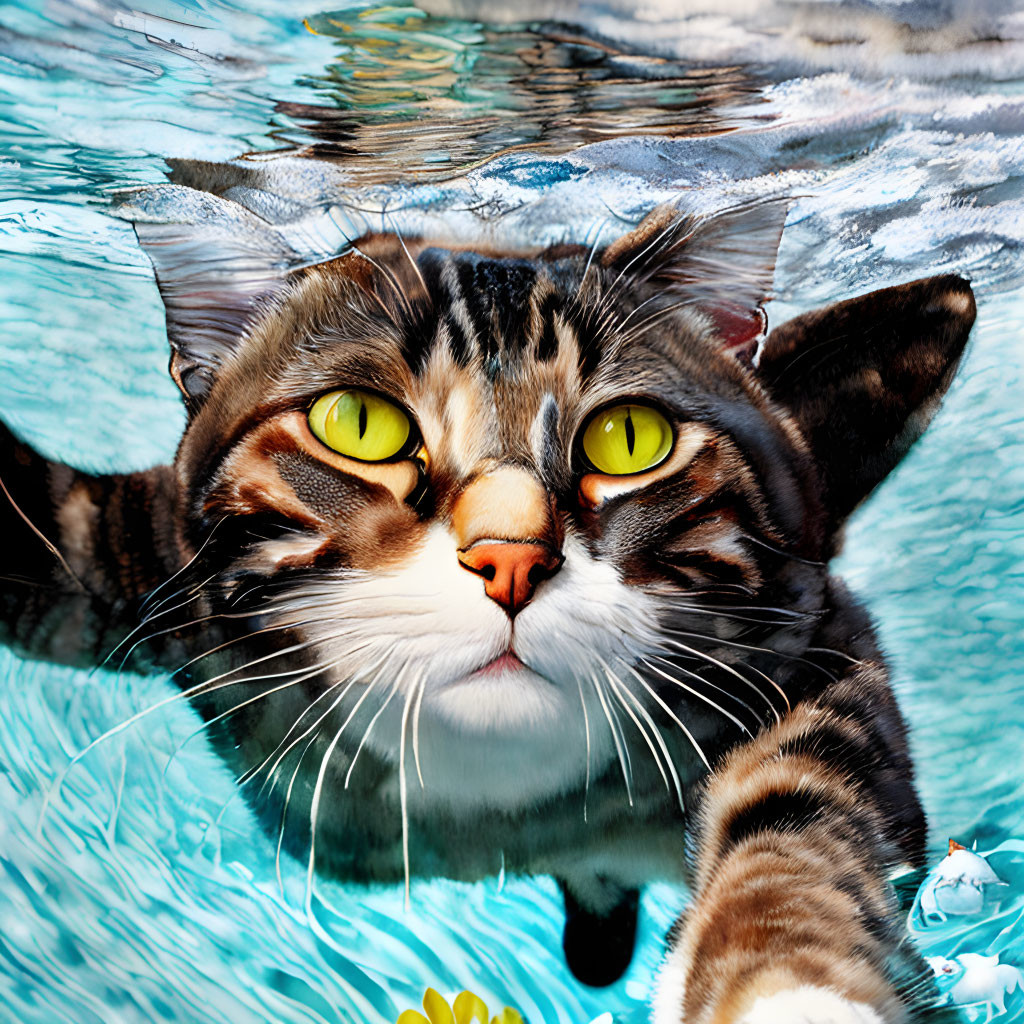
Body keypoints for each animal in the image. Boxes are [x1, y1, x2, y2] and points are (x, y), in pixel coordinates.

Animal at [0, 193, 974, 1024]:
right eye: (358, 425)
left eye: (630, 438)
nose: (510, 559)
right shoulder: (146, 561)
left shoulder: (811, 644)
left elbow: (799, 799)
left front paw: (786, 978)